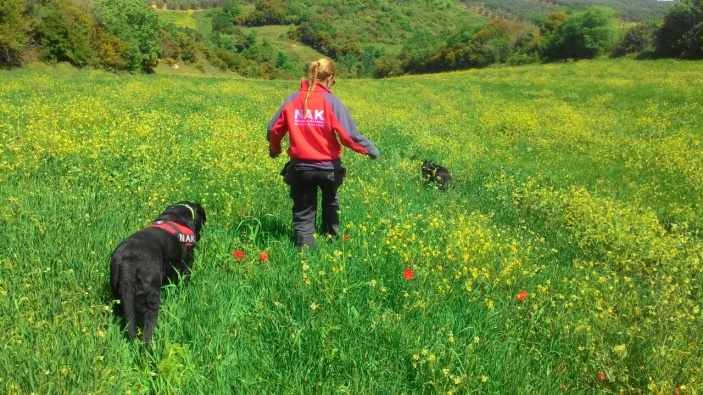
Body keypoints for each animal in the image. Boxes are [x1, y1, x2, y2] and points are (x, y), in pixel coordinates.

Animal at [108, 203, 205, 348]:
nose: (199, 237)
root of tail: (129, 264)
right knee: (146, 335)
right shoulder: (186, 267)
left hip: (120, 298)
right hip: (151, 301)